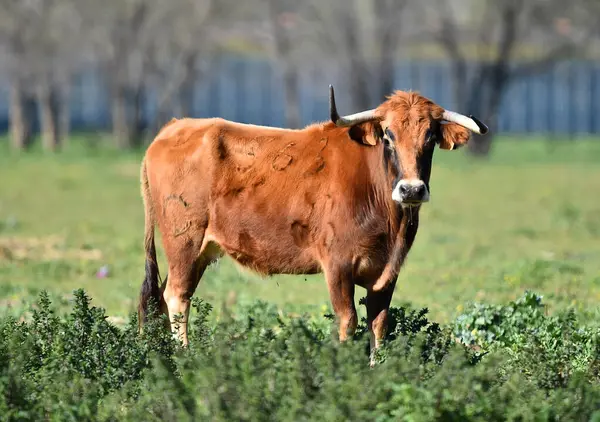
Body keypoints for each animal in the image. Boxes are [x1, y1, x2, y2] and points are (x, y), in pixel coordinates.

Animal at [137, 86, 488, 360]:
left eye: (429, 137)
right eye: (388, 136)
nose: (411, 189)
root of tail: (173, 129)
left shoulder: (386, 272)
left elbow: (378, 325)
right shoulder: (338, 265)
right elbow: (348, 321)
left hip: (200, 252)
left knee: (163, 297)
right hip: (184, 242)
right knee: (177, 297)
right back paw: (184, 358)